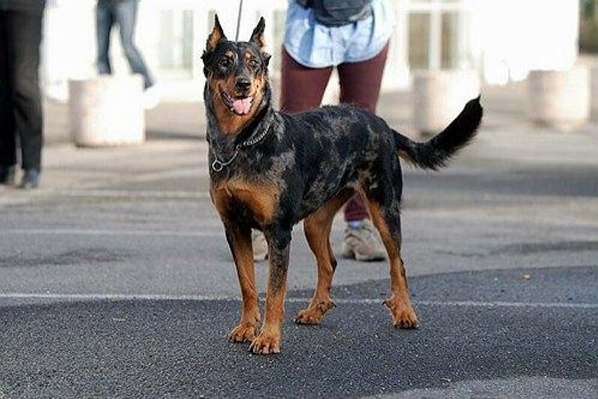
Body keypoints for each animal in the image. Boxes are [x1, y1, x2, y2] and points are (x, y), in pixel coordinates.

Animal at [204, 15, 486, 354]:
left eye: (254, 64)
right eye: (224, 62)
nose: (244, 84)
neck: (243, 143)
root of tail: (383, 124)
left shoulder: (279, 232)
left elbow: (274, 292)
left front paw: (268, 337)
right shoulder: (234, 227)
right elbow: (248, 285)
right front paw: (247, 328)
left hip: (384, 209)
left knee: (398, 264)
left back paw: (405, 312)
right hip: (315, 221)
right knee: (330, 263)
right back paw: (316, 310)